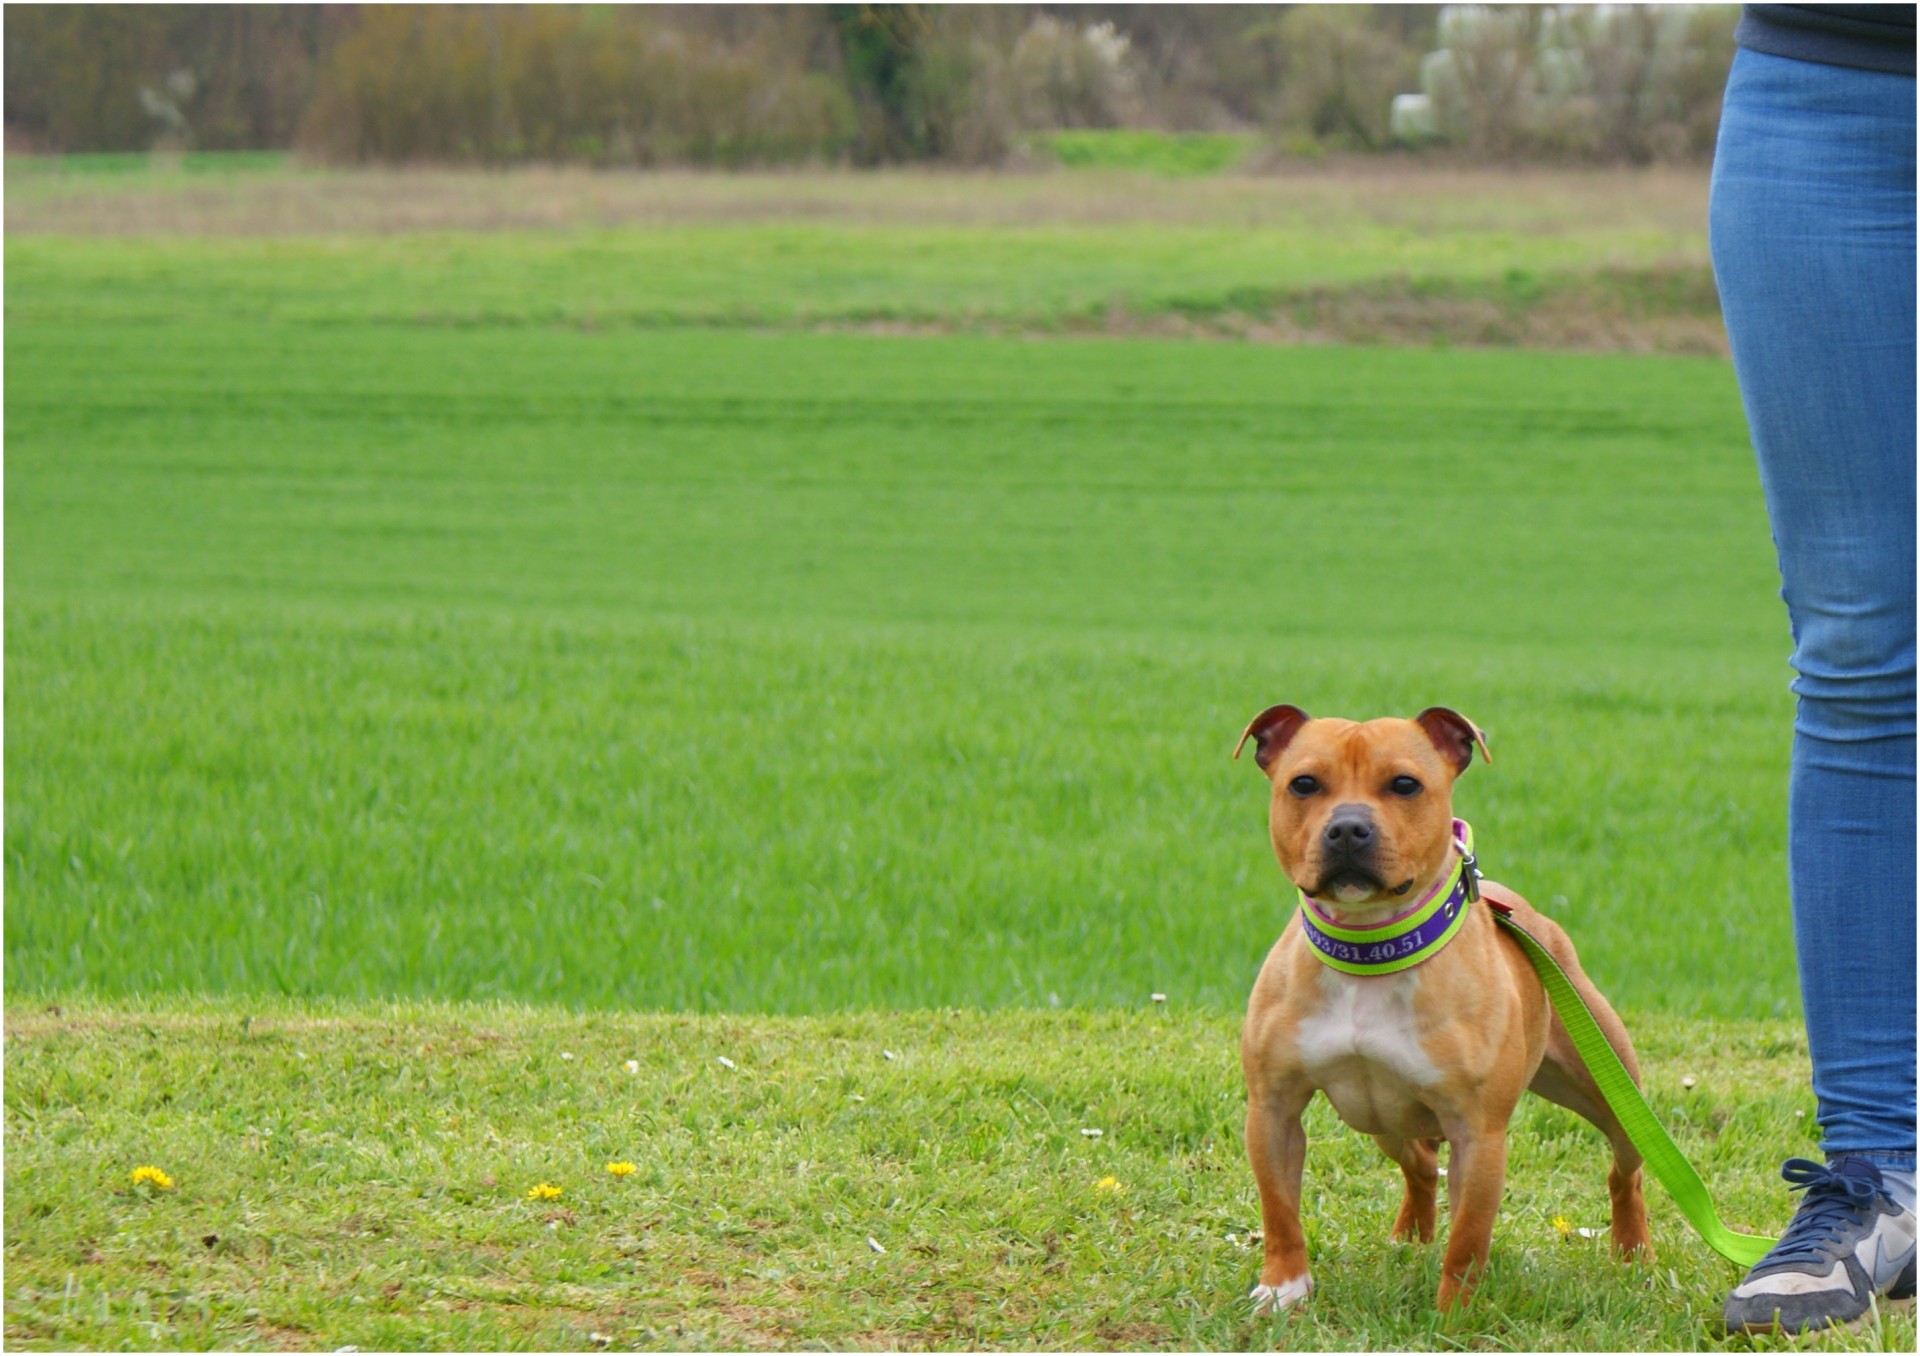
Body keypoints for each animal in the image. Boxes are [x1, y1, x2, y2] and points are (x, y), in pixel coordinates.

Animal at [1244, 706, 1651, 1306]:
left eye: (1405, 784)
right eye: (1304, 784)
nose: (1348, 828)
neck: (1370, 950)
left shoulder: (1478, 1133)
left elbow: (1467, 1238)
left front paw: (1453, 1311)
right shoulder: (1272, 1110)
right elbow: (1278, 1211)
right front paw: (1283, 1289)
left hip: (1612, 1090)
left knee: (1625, 1171)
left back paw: (1632, 1249)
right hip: (1381, 1120)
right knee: (1421, 1165)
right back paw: (1411, 1235)